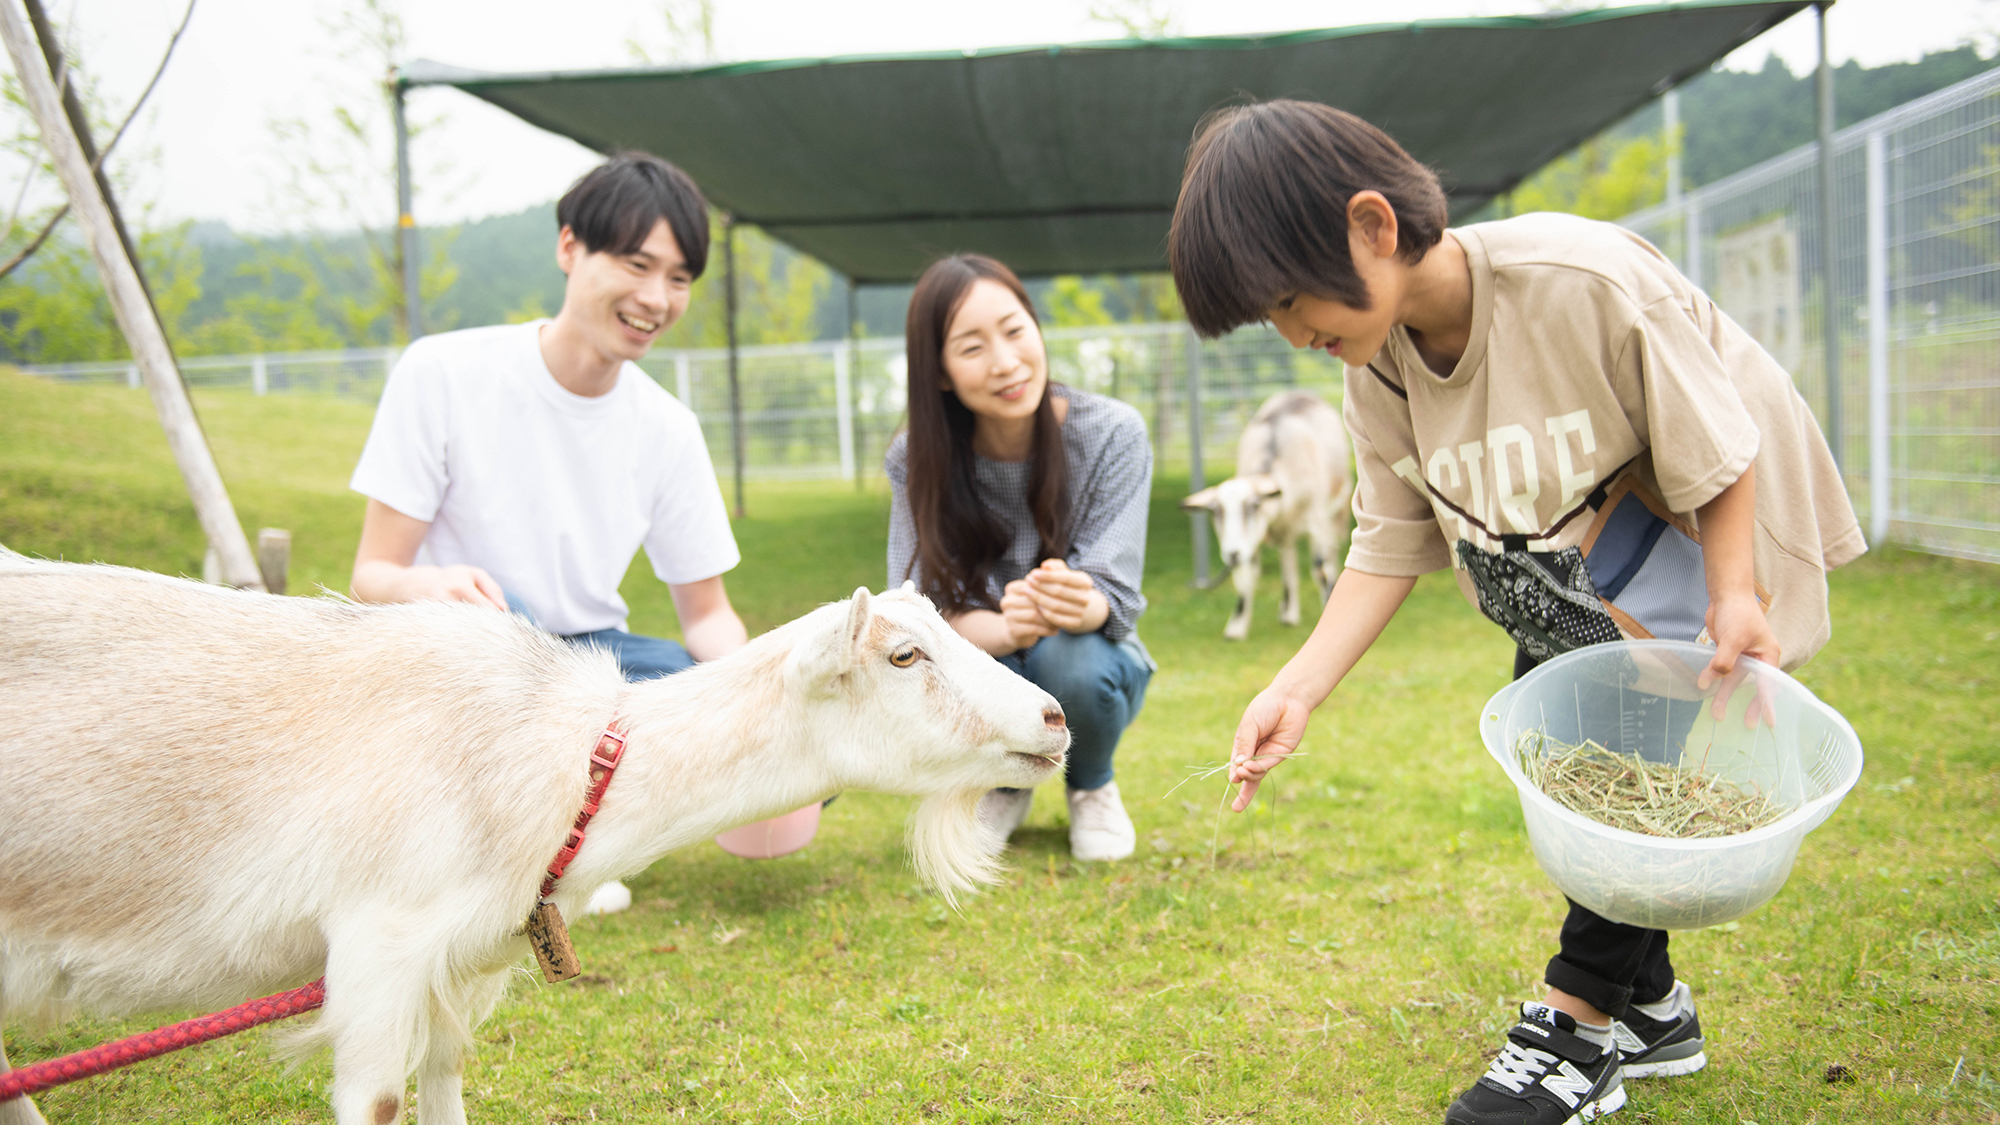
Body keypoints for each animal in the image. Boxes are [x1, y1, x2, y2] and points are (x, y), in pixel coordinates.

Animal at [0, 552, 1064, 1120]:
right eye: (905, 654)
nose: (1054, 718)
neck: (556, 764)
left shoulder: (451, 961)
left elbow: (444, 1080)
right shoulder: (379, 945)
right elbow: (379, 1099)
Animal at [1176, 390, 1352, 640]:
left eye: (1252, 506)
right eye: (1215, 512)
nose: (1232, 554)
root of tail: (1299, 393)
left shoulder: (1317, 520)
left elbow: (1320, 567)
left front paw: (1329, 609)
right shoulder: (1252, 540)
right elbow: (1247, 576)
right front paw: (1237, 627)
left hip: (1337, 512)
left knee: (1331, 555)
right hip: (1286, 533)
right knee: (1288, 561)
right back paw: (1289, 613)